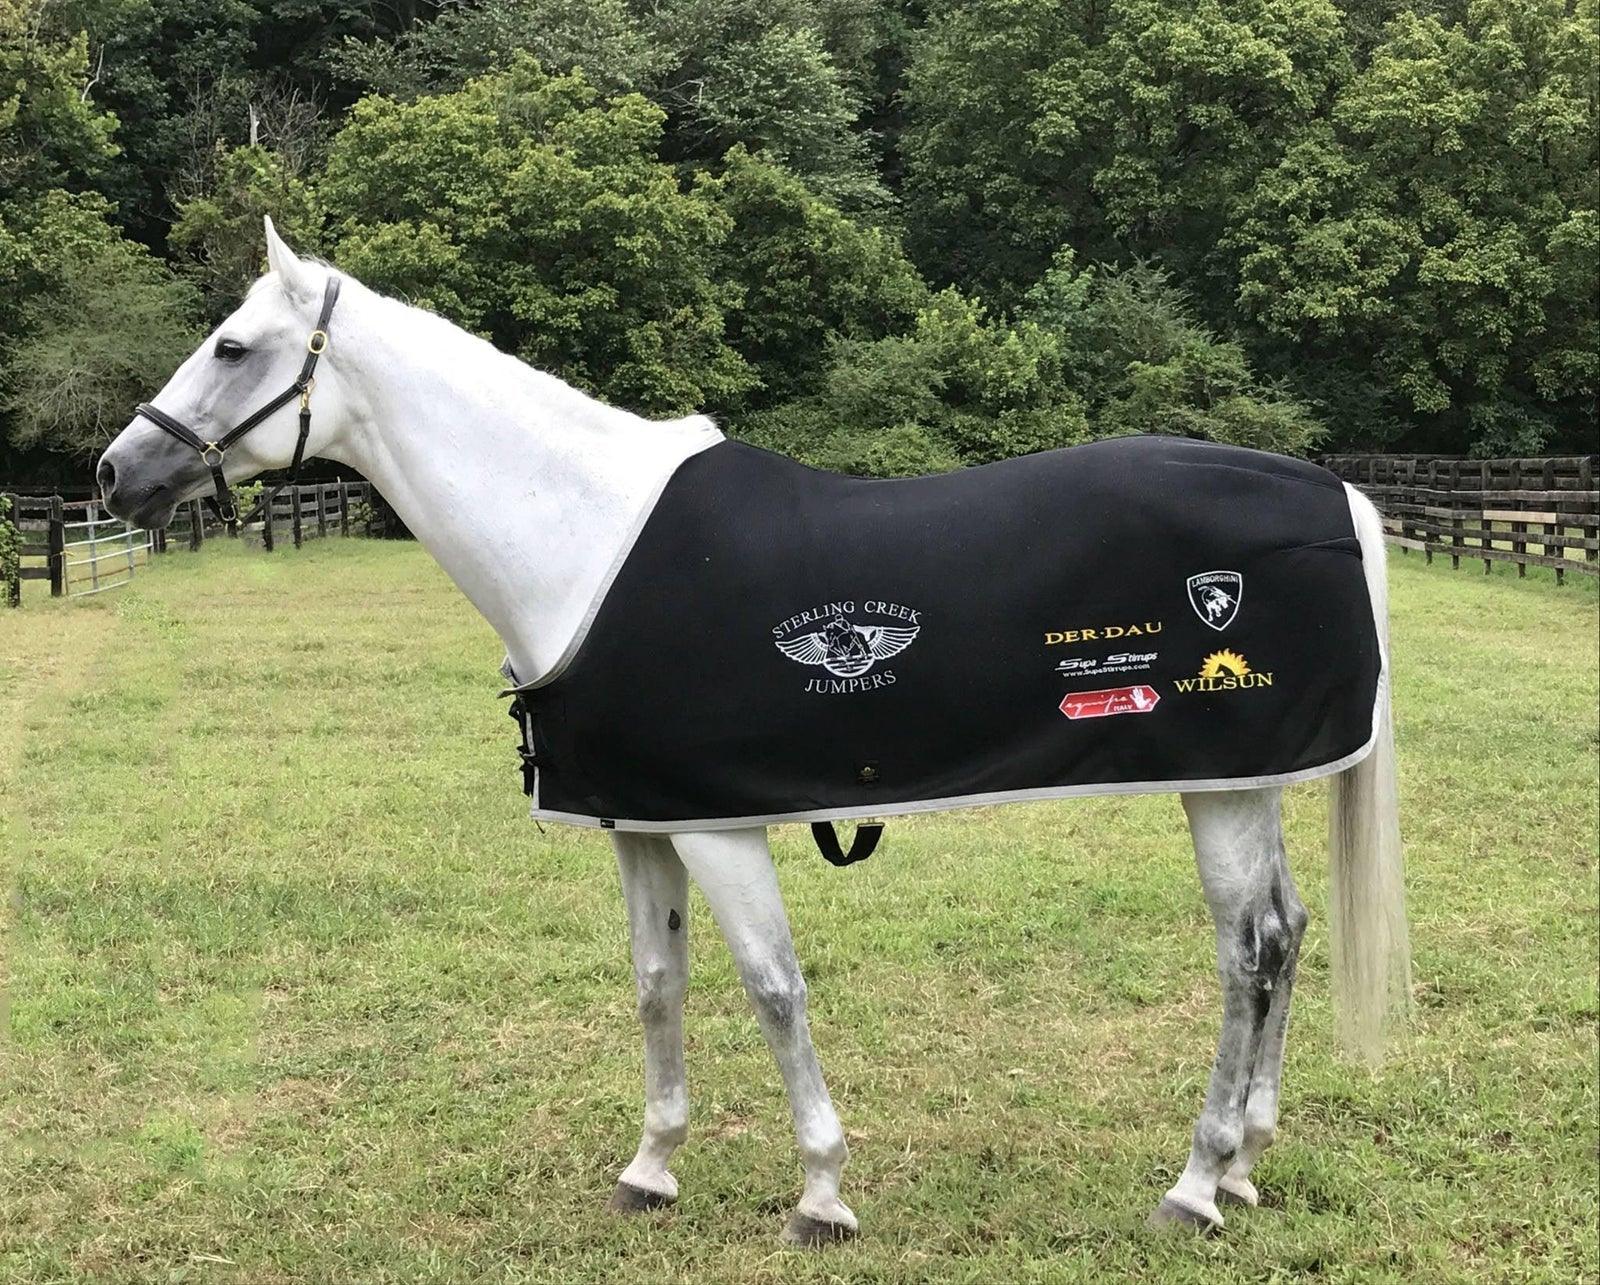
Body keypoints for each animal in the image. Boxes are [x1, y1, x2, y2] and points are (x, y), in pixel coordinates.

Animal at [96, 220, 1411, 1242]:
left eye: (232, 346)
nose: (117, 473)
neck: (583, 543)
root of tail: (1334, 497)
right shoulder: (640, 820)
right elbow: (656, 983)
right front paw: (651, 1168)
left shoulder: (720, 823)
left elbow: (772, 986)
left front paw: (821, 1193)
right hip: (1249, 781)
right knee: (1288, 932)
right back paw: (1245, 1164)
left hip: (1222, 785)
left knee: (1246, 952)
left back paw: (1194, 1182)